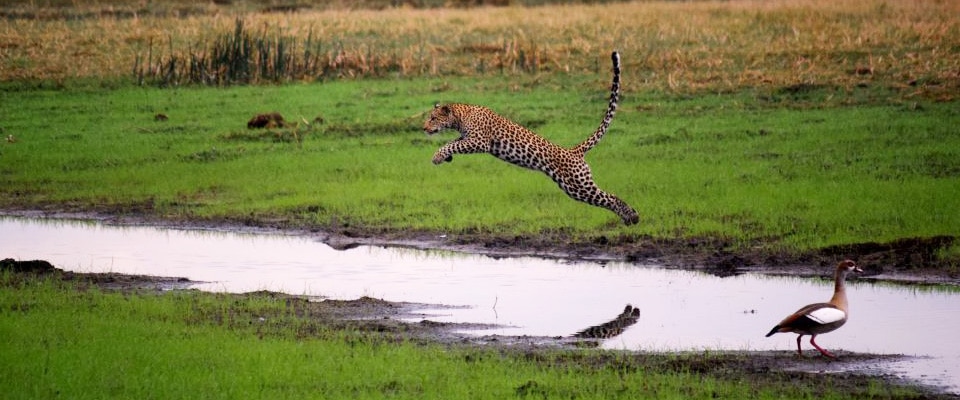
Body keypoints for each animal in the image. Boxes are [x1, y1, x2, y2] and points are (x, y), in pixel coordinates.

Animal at [426, 51, 636, 225]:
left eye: (433, 118)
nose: (424, 127)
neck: (460, 116)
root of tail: (574, 151)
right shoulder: (467, 138)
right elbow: (452, 143)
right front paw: (444, 157)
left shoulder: (479, 141)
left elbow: (451, 145)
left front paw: (437, 157)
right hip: (574, 186)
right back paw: (630, 217)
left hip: (579, 185)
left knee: (610, 197)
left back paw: (632, 216)